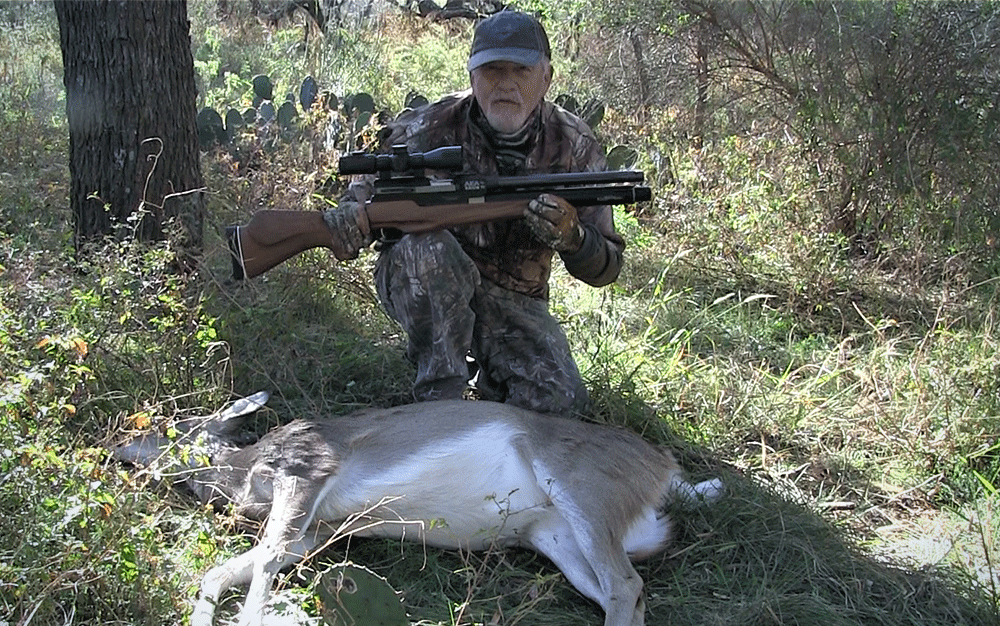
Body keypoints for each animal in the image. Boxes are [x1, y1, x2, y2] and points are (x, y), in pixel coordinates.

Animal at [115, 390, 720, 624]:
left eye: (176, 424)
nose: (121, 444)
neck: (246, 475)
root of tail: (664, 469)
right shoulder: (317, 532)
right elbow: (219, 571)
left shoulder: (308, 469)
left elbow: (262, 560)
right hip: (557, 537)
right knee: (627, 592)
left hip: (579, 486)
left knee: (624, 585)